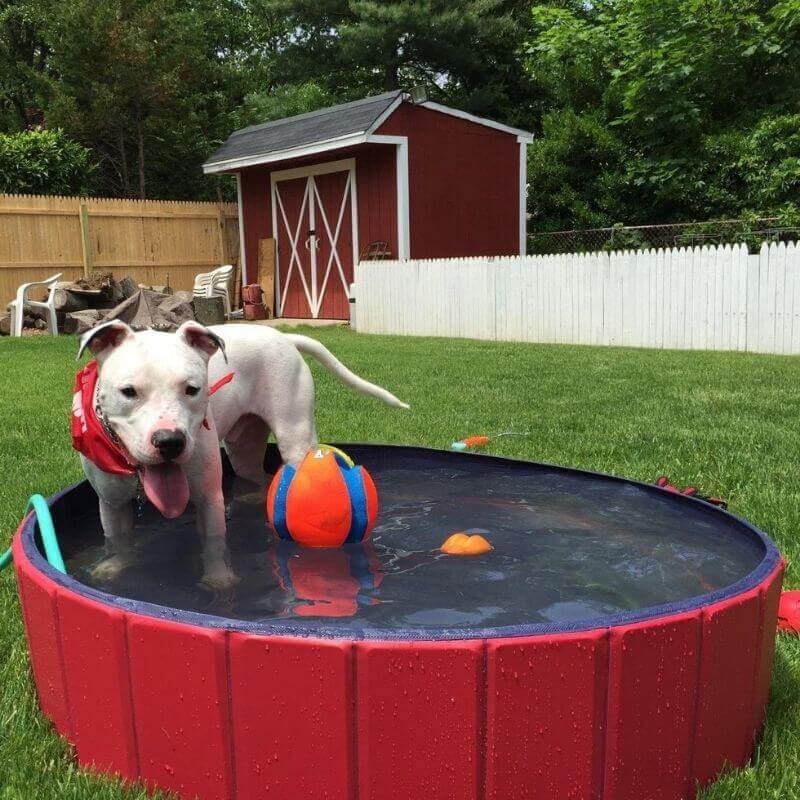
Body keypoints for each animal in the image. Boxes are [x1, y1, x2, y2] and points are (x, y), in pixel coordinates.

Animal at [74, 318, 406, 588]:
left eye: (192, 389)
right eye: (128, 392)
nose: (170, 441)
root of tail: (284, 337)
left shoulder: (209, 496)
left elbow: (214, 543)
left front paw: (219, 578)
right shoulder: (111, 503)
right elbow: (117, 540)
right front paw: (114, 567)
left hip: (296, 438)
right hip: (243, 449)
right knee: (260, 476)